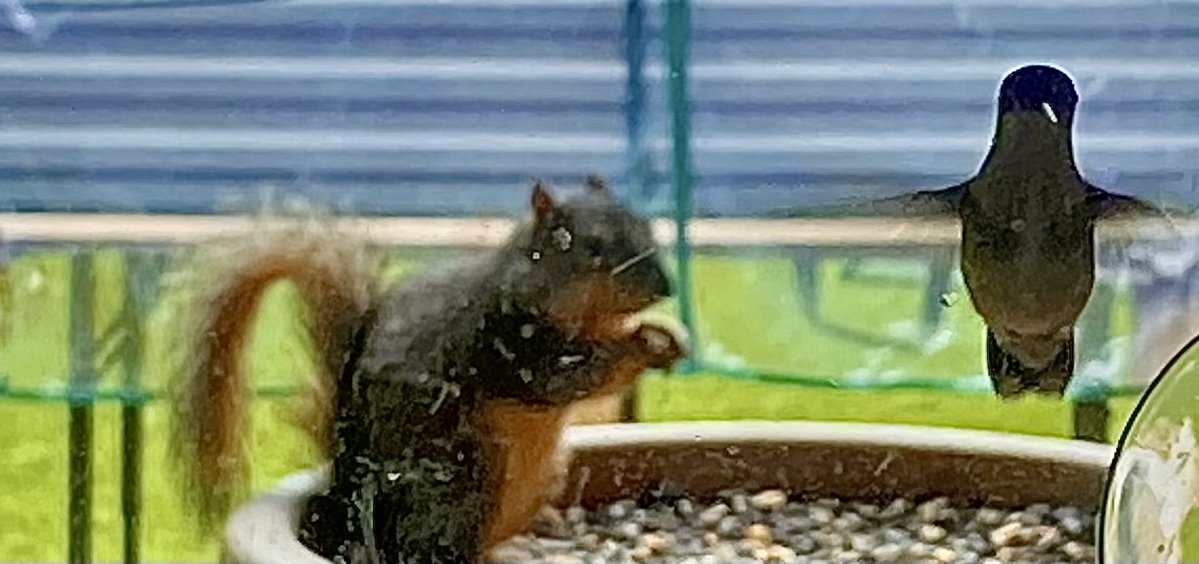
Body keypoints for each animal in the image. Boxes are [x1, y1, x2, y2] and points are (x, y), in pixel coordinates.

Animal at [168, 176, 686, 564]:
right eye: (589, 247)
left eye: (643, 225)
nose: (667, 287)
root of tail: (345, 479)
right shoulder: (509, 348)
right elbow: (568, 378)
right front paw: (644, 344)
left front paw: (667, 332)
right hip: (463, 477)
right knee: (430, 548)